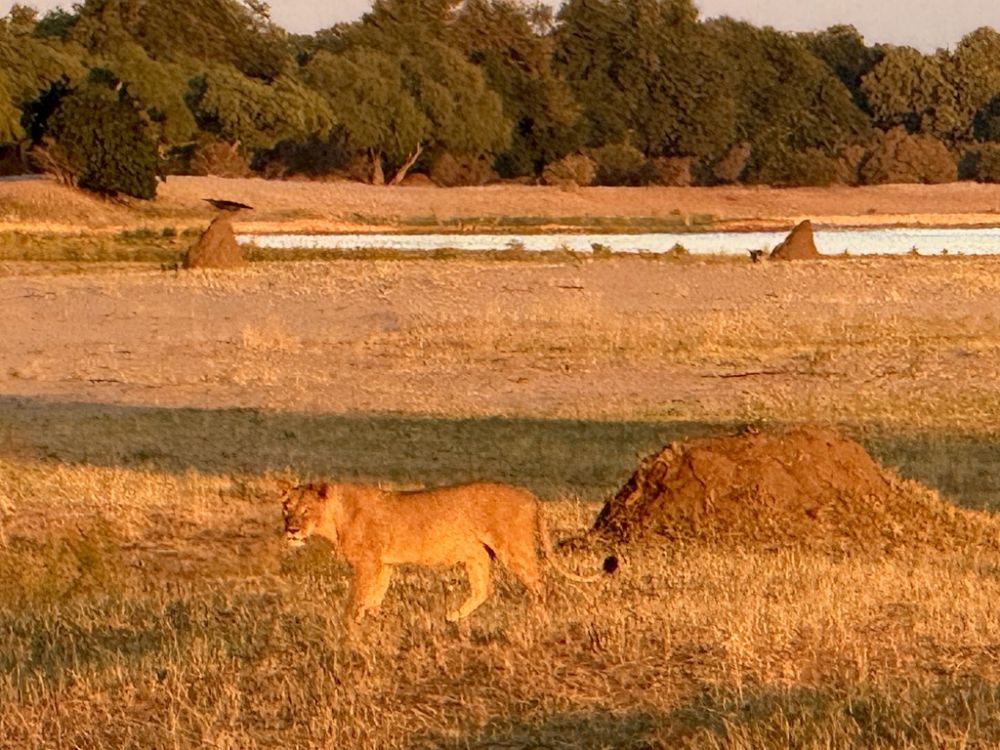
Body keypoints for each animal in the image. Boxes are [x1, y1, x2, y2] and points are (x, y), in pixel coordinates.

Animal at [280, 480, 615, 622]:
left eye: (306, 510)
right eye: (287, 508)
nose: (291, 530)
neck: (334, 518)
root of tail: (530, 495)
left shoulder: (368, 563)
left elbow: (356, 600)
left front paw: (349, 629)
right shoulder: (384, 565)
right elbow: (373, 598)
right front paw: (375, 622)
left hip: (513, 548)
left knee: (538, 583)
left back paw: (536, 617)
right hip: (476, 554)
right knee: (484, 589)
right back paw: (453, 617)